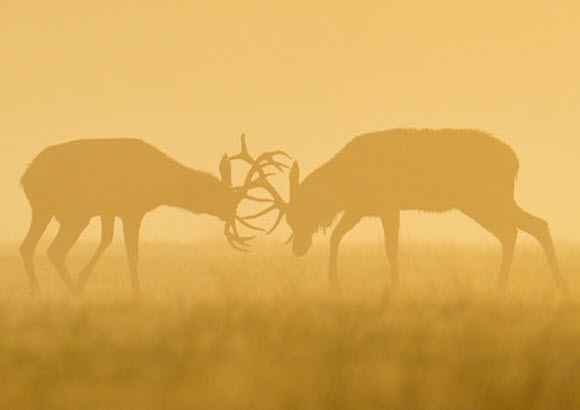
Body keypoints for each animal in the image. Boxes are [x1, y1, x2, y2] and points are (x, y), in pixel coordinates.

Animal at [20, 136, 288, 296]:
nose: (230, 215)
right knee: (53, 249)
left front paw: (83, 276)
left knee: (29, 246)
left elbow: (106, 240)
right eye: (225, 197)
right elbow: (132, 253)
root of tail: (26, 176)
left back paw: (40, 291)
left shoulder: (110, 210)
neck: (161, 184)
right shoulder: (132, 209)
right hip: (73, 213)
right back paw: (68, 291)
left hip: (48, 211)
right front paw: (137, 293)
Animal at [280, 128, 568, 292]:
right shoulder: (361, 208)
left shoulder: (386, 205)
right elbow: (337, 236)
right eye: (289, 219)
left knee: (530, 226)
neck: (343, 186)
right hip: (480, 203)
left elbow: (390, 246)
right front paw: (334, 283)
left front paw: (396, 287)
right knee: (518, 230)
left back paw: (552, 284)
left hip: (487, 198)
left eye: (299, 214)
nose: (298, 249)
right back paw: (510, 285)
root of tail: (514, 161)